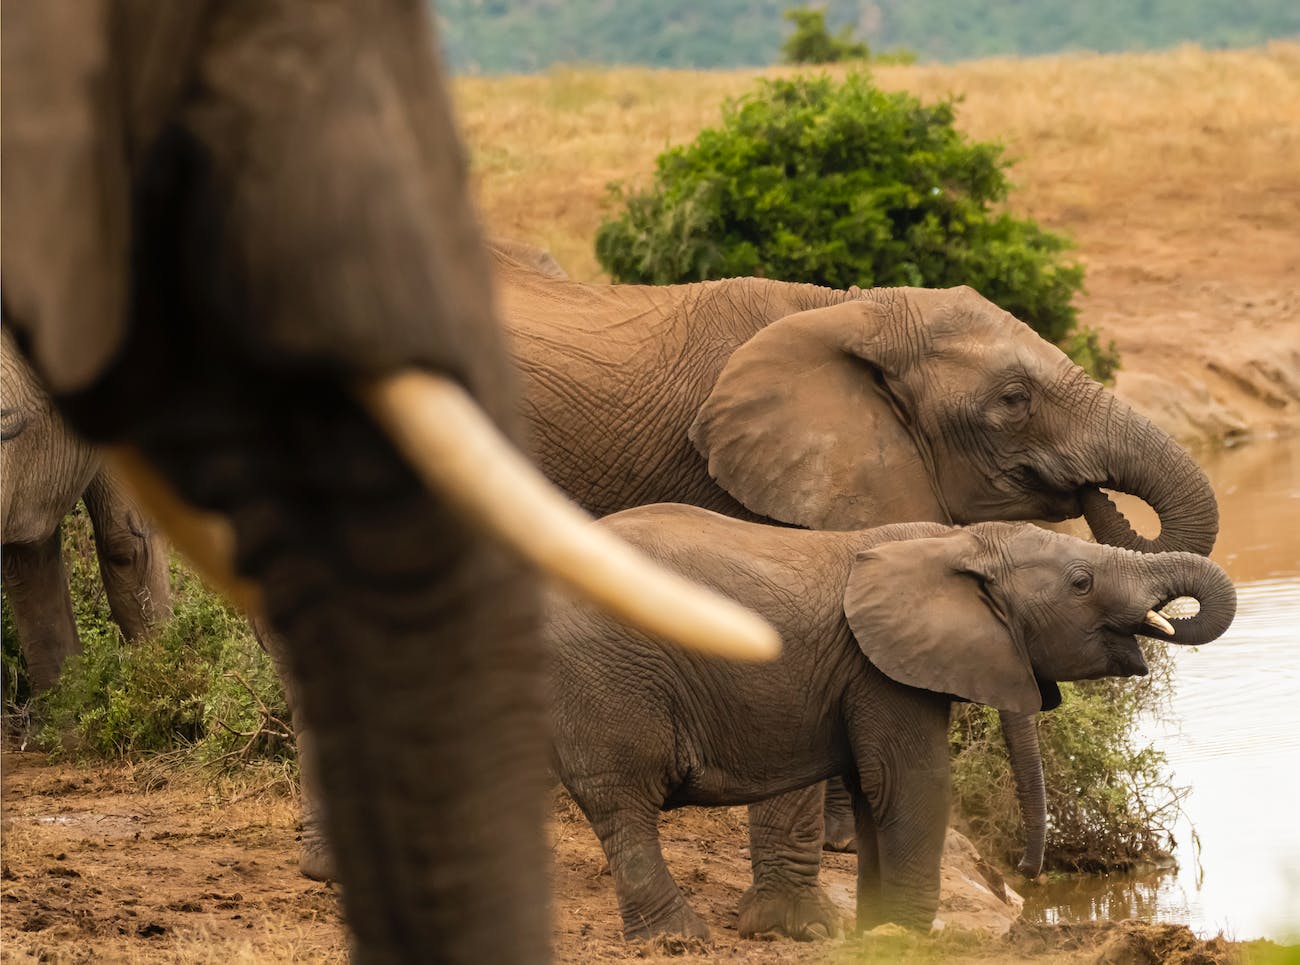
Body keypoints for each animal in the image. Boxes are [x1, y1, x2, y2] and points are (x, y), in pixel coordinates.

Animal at [543, 509, 1232, 941]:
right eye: (1082, 582)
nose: (1029, 872)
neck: (955, 542)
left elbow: (873, 791)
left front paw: (876, 932)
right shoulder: (879, 670)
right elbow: (908, 783)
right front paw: (908, 933)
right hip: (608, 676)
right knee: (624, 804)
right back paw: (680, 940)